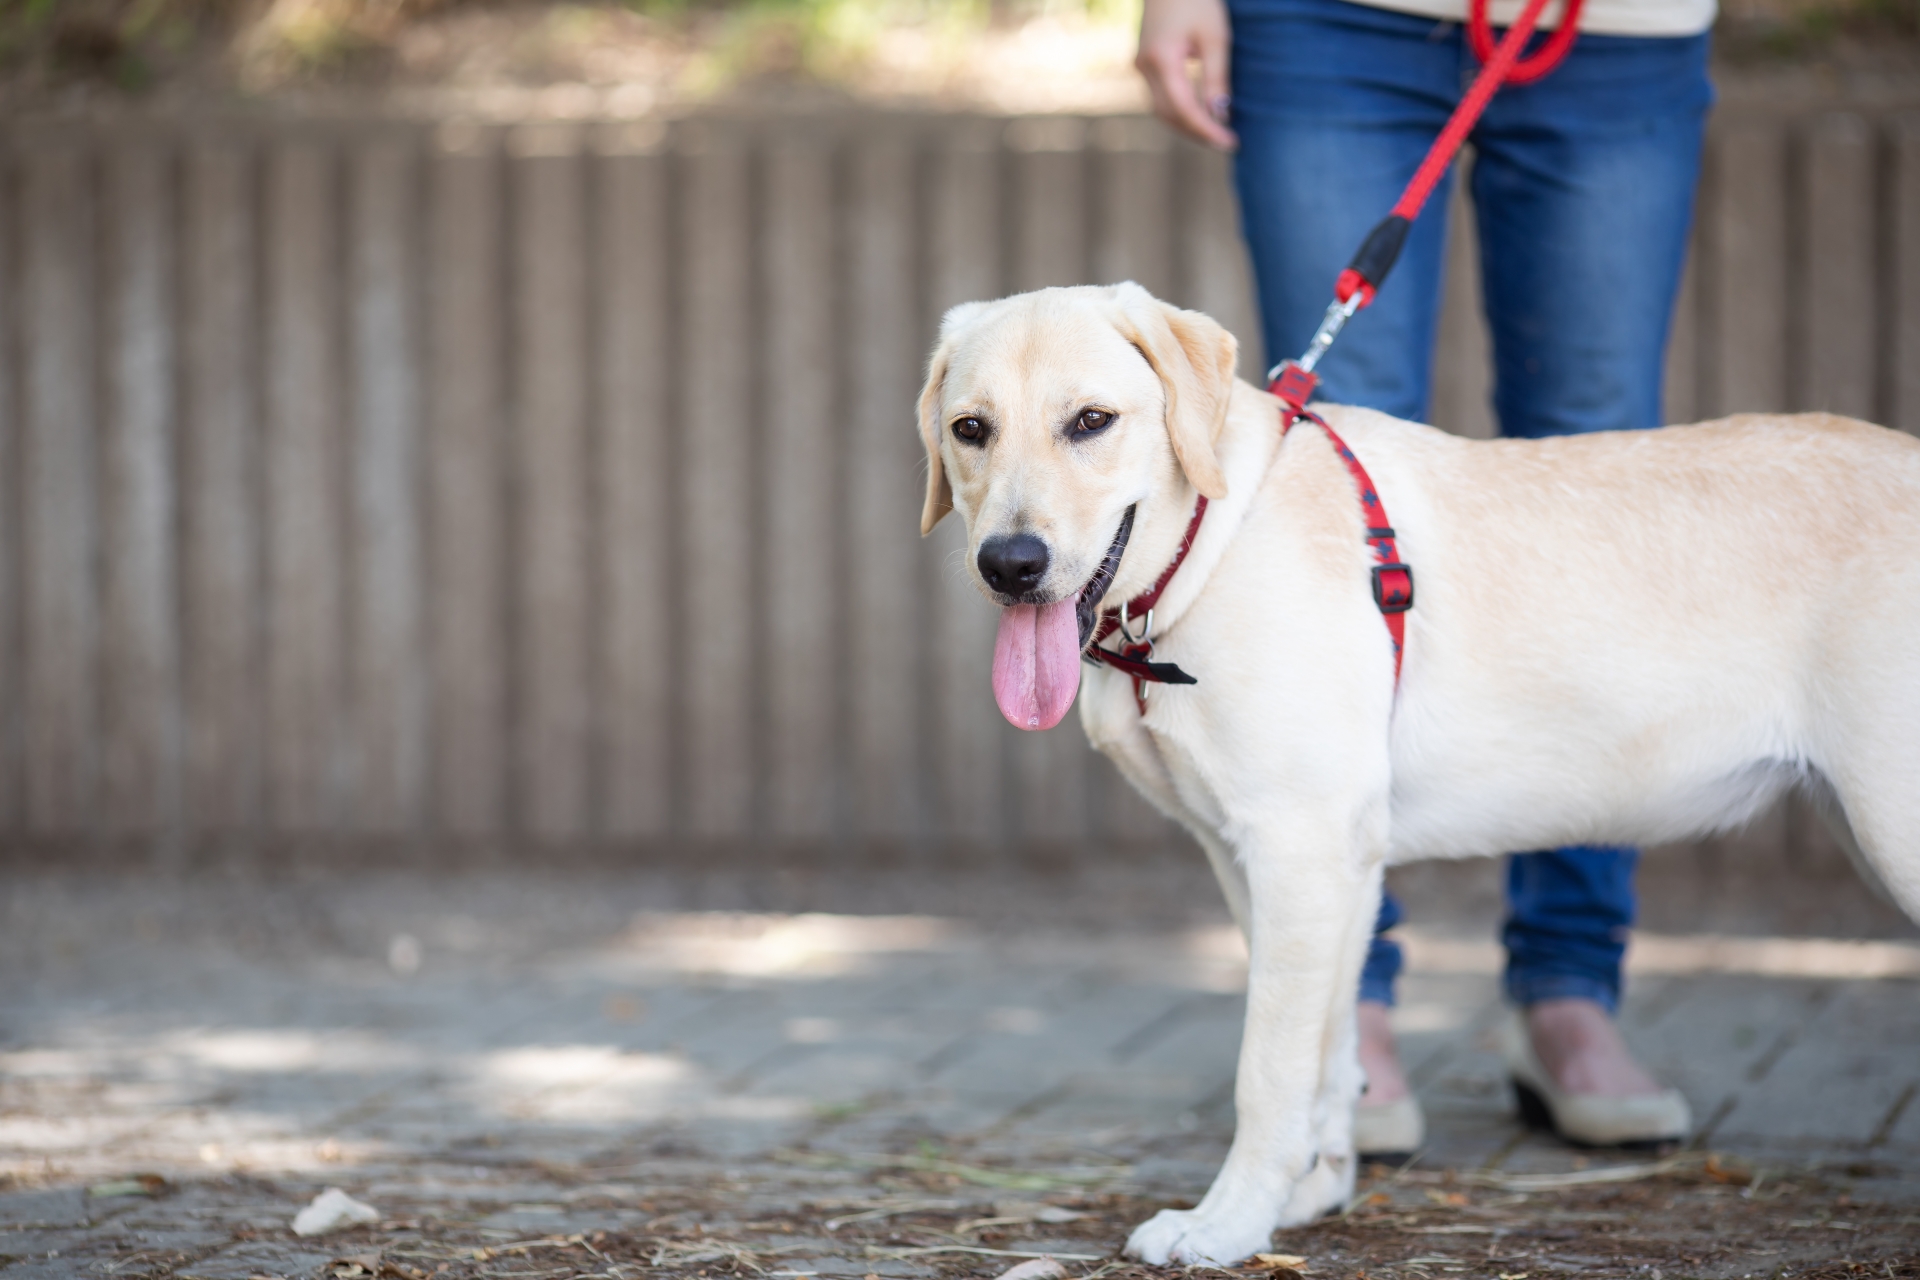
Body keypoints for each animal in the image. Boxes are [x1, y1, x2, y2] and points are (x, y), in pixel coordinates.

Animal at [910, 278, 1920, 1258]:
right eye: (971, 429)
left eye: (1091, 421)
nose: (1009, 564)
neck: (1211, 545)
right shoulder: (1304, 867)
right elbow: (1331, 1052)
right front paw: (1308, 1194)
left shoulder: (1298, 849)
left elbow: (1267, 1069)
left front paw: (1226, 1225)